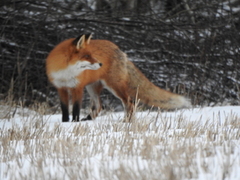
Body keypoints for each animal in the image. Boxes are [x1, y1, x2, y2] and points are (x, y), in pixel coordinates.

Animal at [46, 33, 190, 122]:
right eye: (86, 56)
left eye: (91, 55)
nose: (100, 64)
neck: (66, 73)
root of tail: (120, 50)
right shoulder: (61, 88)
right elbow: (65, 110)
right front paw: (65, 123)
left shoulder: (78, 88)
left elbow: (75, 109)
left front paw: (74, 123)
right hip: (92, 87)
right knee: (99, 105)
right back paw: (89, 119)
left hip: (114, 86)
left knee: (130, 102)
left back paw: (126, 121)